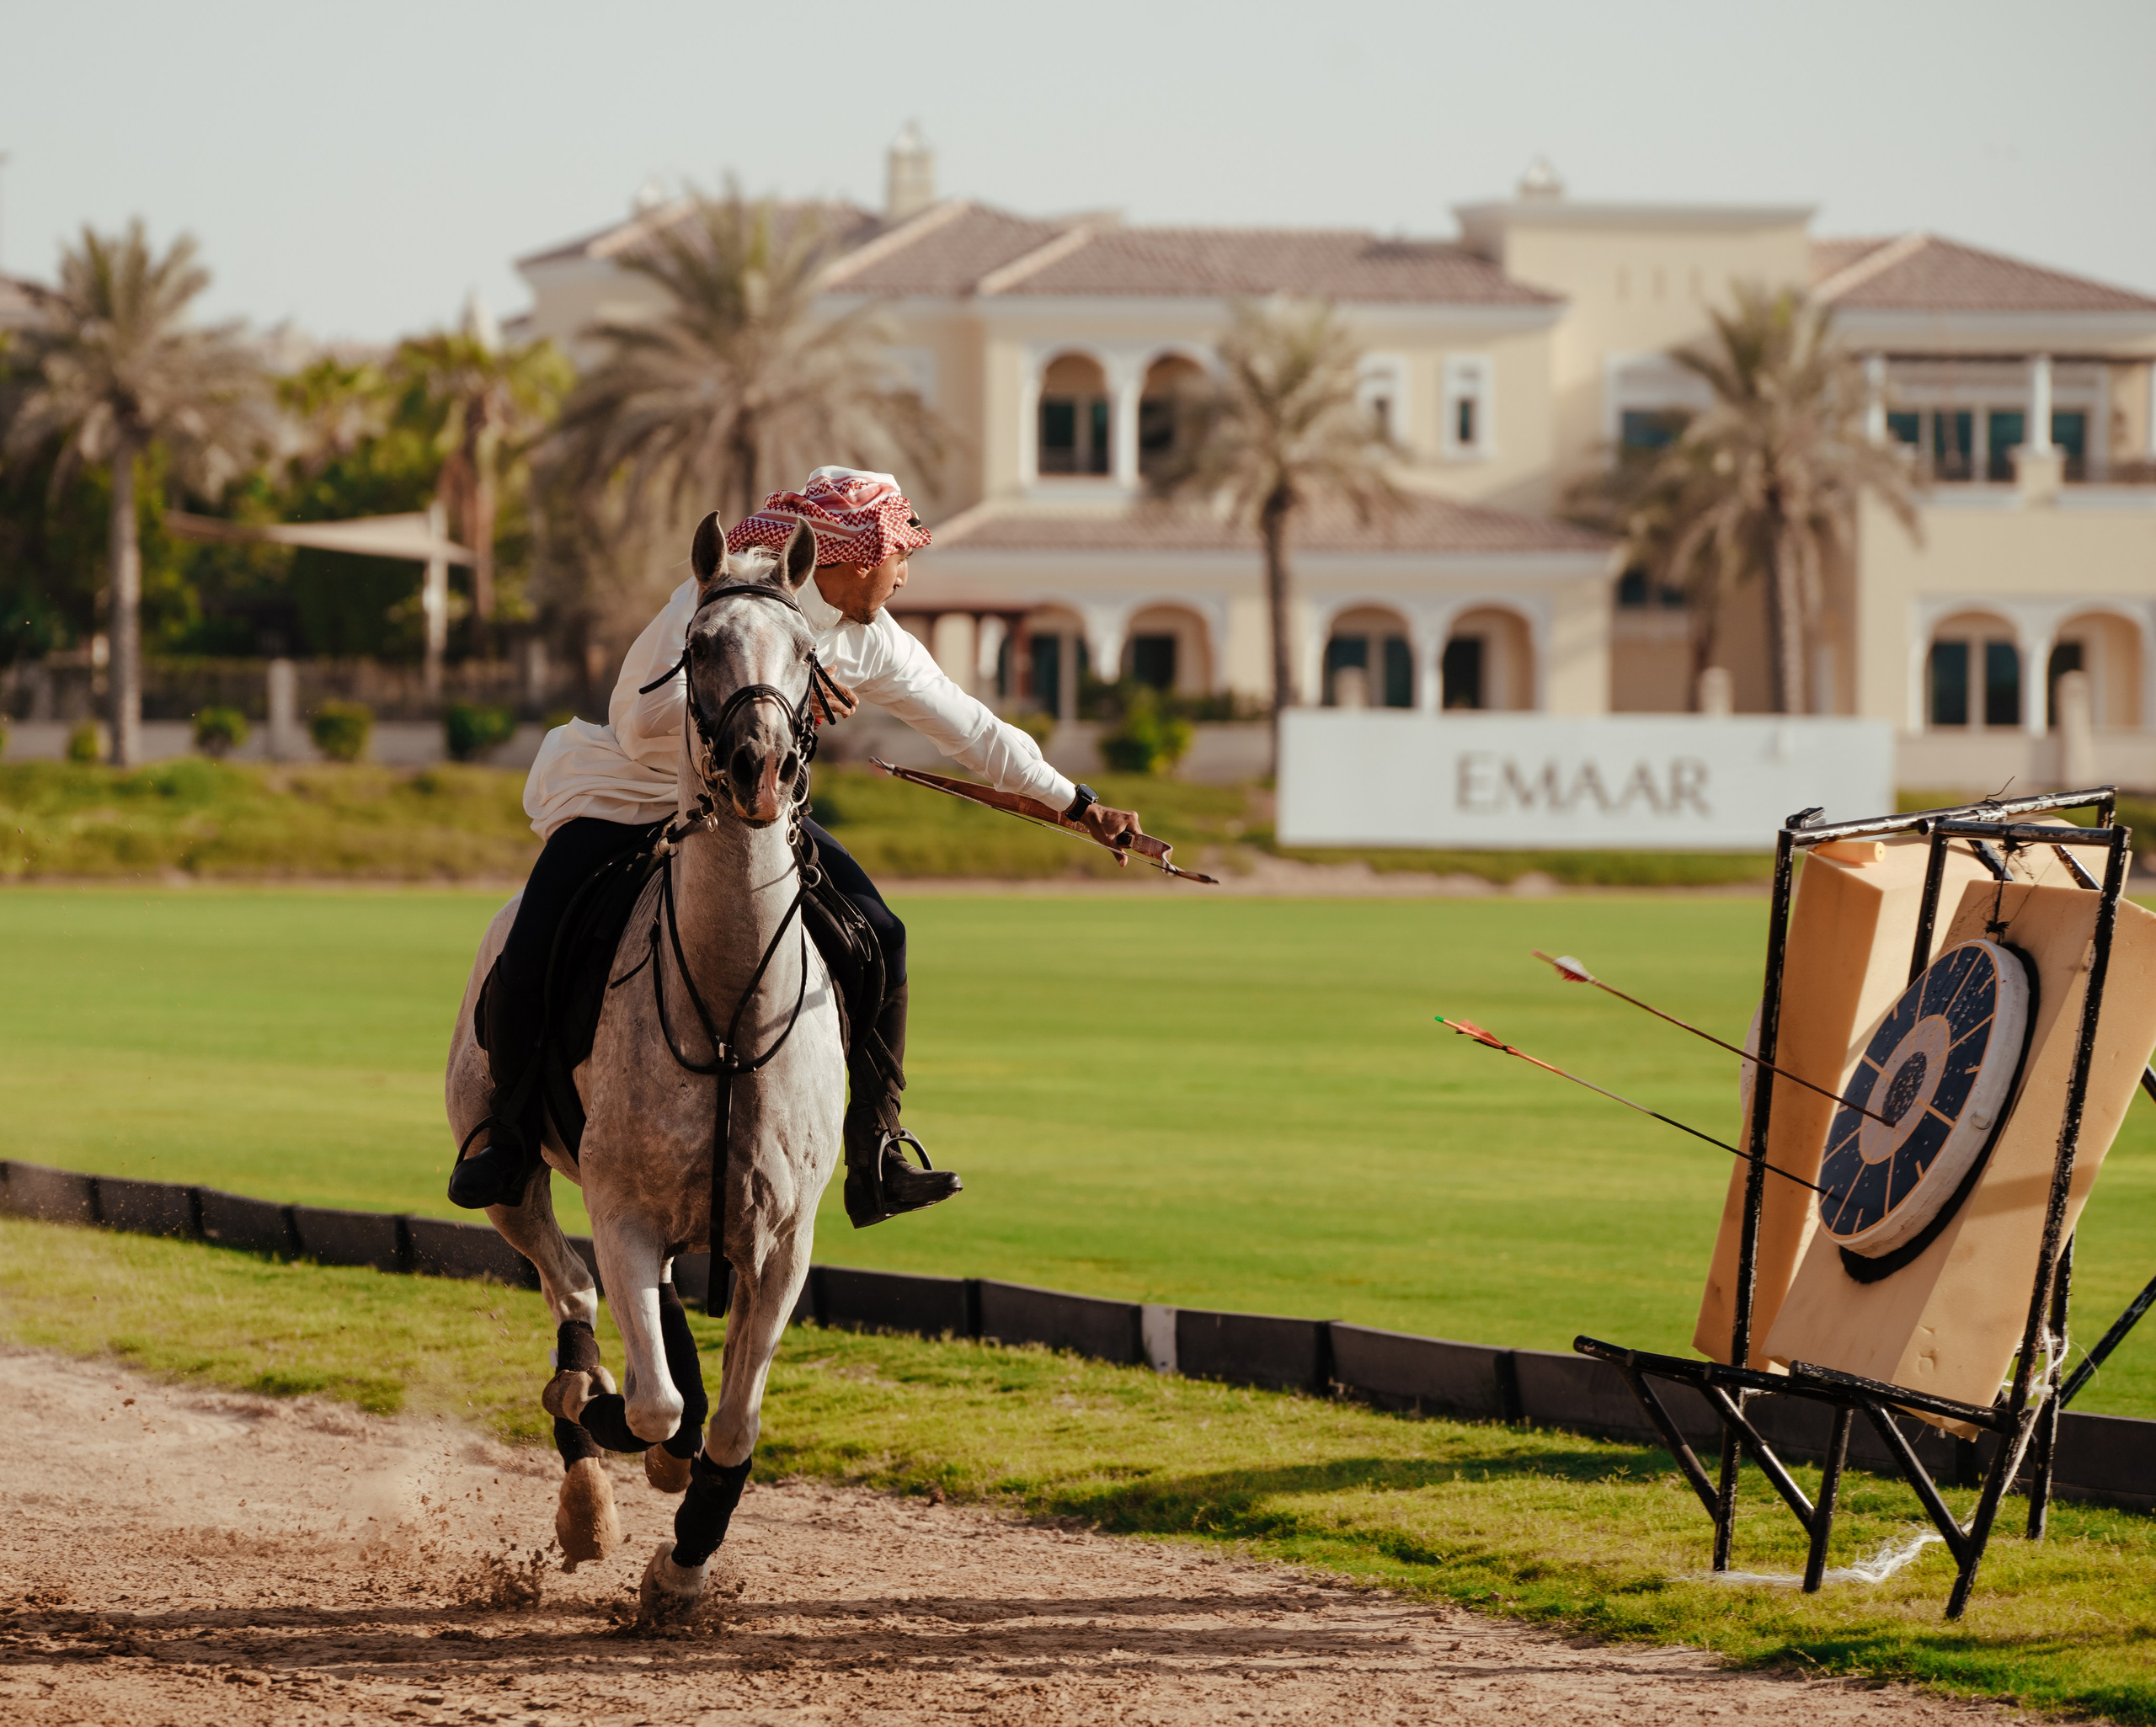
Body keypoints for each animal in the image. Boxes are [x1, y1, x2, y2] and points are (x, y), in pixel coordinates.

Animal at [443, 515, 846, 1616]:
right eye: (699, 648)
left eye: (808, 655)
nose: (757, 768)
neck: (726, 1001)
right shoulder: (620, 1209)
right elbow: (658, 1402)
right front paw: (631, 1441)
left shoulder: (781, 1238)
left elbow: (734, 1422)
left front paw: (683, 1564)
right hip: (511, 1177)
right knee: (573, 1297)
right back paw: (587, 1488)